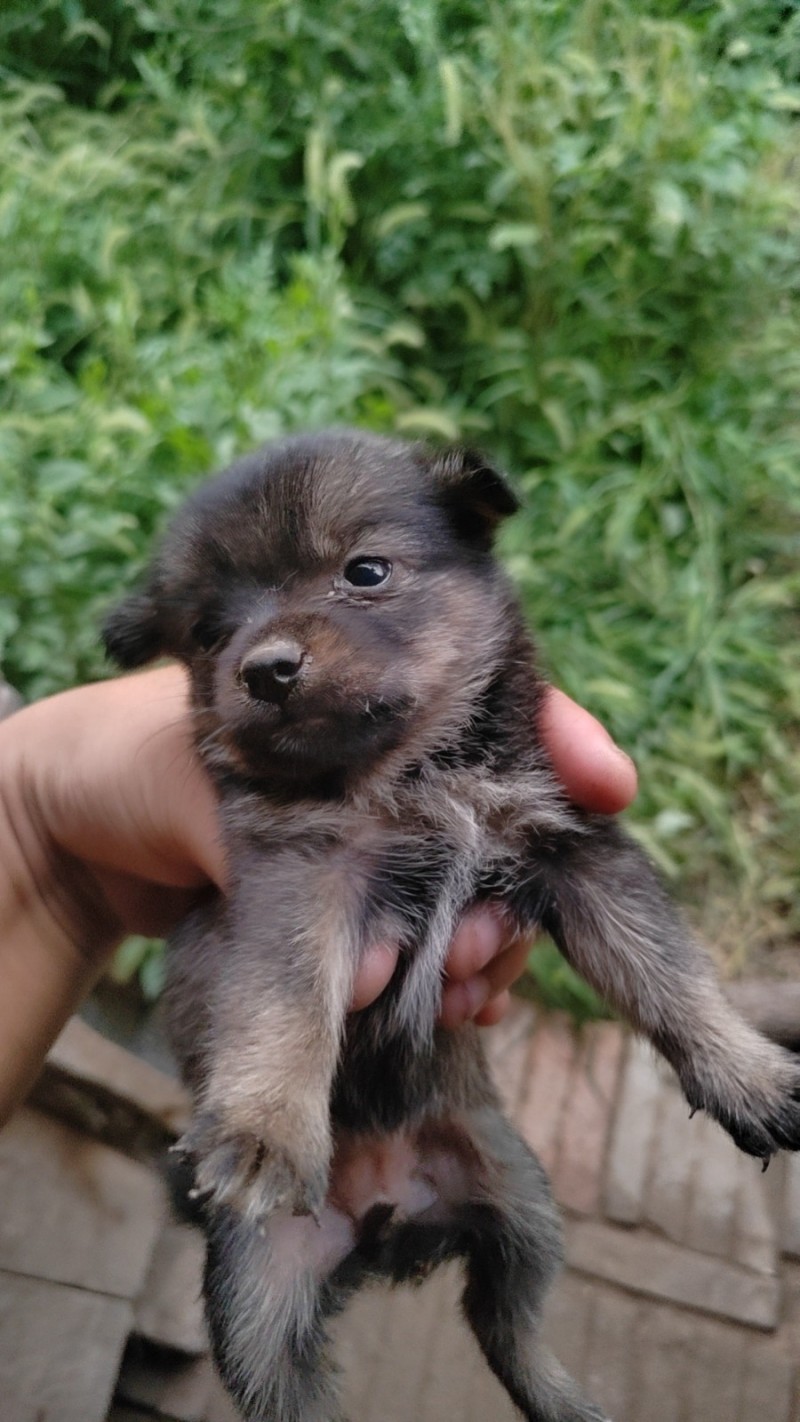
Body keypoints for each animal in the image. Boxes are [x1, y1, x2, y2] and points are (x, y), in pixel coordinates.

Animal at [104, 429, 800, 1422]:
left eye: (365, 572)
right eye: (206, 632)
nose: (264, 668)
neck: (416, 775)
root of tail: (387, 1222)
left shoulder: (574, 850)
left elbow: (667, 975)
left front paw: (745, 1073)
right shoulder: (299, 881)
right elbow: (284, 1008)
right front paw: (265, 1128)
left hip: (522, 1200)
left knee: (508, 1325)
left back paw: (570, 1403)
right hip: (257, 1297)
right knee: (304, 1387)